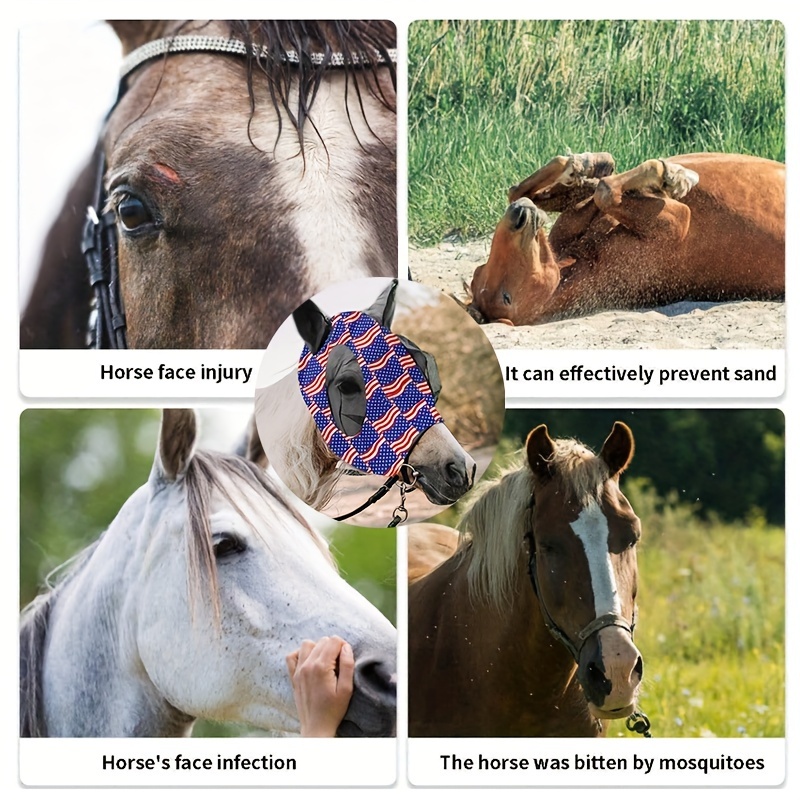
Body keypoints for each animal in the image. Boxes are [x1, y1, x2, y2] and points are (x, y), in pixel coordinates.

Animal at [466, 152, 784, 326]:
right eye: (506, 297)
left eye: (478, 270)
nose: (518, 216)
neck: (584, 260)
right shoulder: (679, 220)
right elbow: (606, 191)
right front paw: (672, 176)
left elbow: (525, 190)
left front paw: (585, 165)